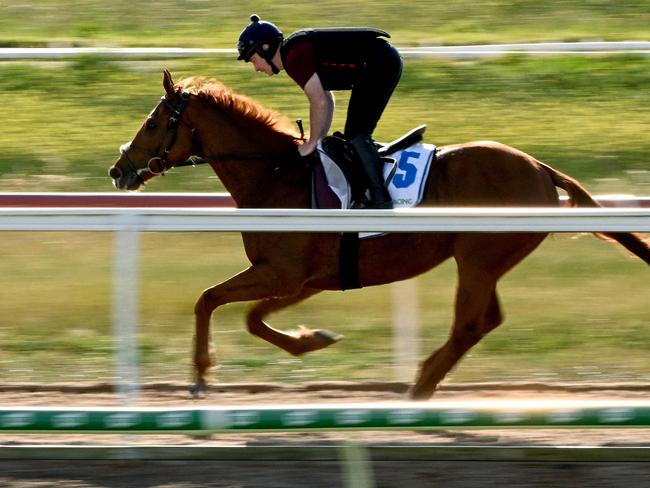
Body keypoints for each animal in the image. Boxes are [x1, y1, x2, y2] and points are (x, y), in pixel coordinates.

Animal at [109, 72, 644, 400]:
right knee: (483, 321)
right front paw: (313, 338)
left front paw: (201, 375)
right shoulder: (307, 278)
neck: (277, 174)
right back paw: (424, 382)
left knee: (470, 324)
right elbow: (254, 318)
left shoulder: (281, 272)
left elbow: (208, 300)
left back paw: (420, 386)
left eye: (152, 123)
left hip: (478, 258)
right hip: (483, 262)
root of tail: (539, 167)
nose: (119, 170)